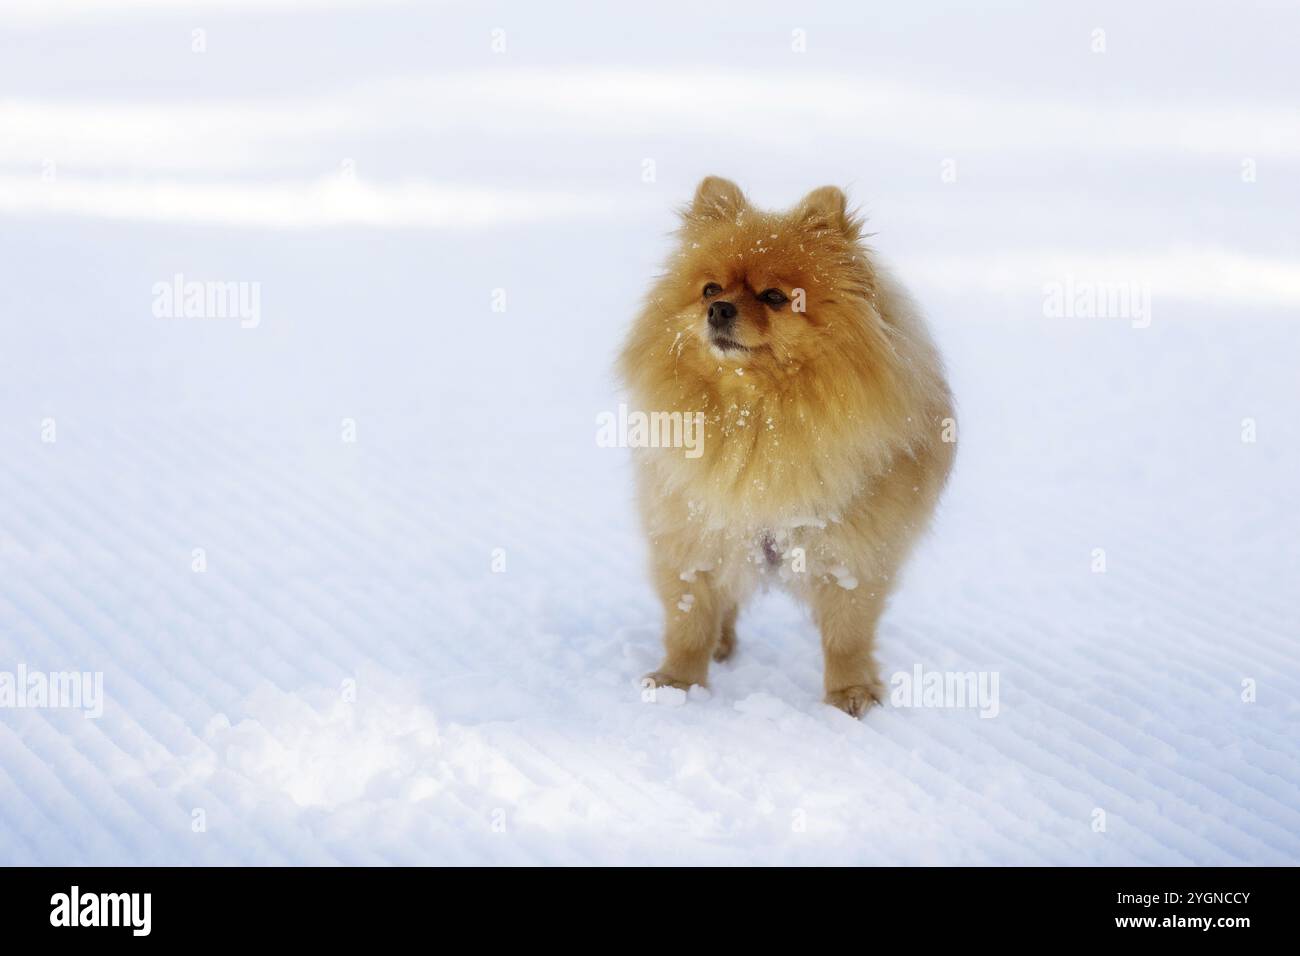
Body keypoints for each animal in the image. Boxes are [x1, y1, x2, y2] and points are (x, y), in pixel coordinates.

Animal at [618, 179, 956, 717]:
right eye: (710, 289)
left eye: (775, 297)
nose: (718, 309)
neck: (759, 416)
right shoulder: (692, 529)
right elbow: (689, 618)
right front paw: (679, 683)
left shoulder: (855, 548)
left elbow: (847, 632)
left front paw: (849, 692)